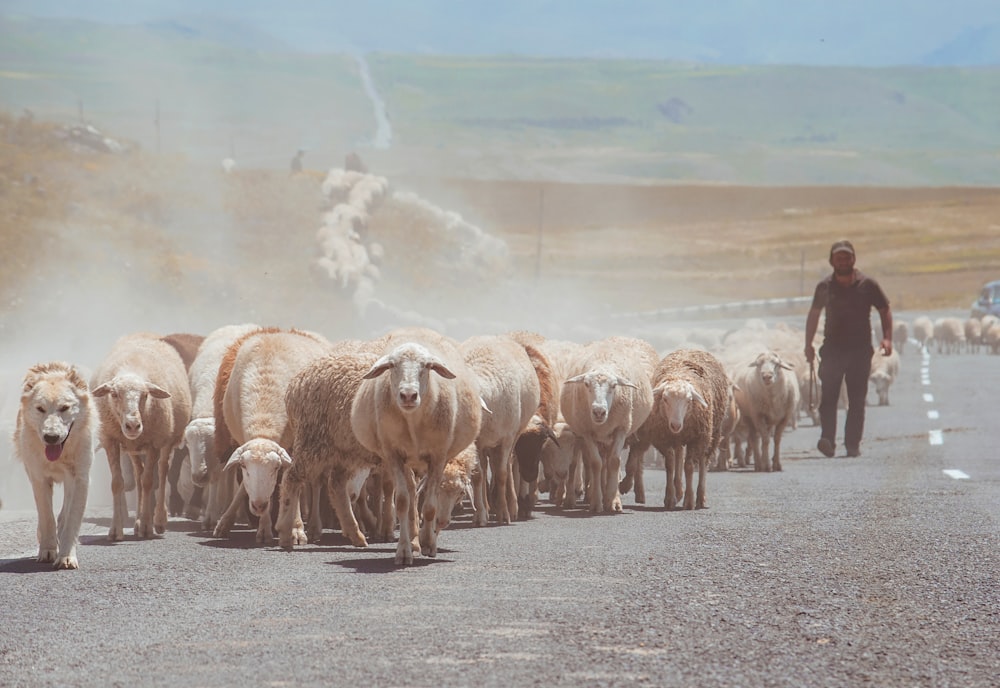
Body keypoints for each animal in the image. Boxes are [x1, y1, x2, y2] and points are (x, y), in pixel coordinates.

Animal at [12, 360, 96, 568]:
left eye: (64, 408)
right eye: (40, 408)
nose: (51, 437)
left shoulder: (81, 479)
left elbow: (72, 518)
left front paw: (66, 556)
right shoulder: (39, 479)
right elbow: (46, 517)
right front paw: (48, 551)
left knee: (65, 512)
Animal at [91, 330, 192, 540]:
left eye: (145, 395)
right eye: (114, 394)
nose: (133, 425)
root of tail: (146, 333)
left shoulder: (154, 443)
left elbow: (148, 482)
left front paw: (147, 526)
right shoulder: (110, 440)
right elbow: (118, 483)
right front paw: (116, 529)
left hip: (167, 439)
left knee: (162, 472)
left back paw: (159, 520)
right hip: (133, 448)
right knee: (138, 474)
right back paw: (137, 521)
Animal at [213, 328, 334, 544]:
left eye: (275, 467)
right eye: (244, 466)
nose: (259, 505)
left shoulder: (294, 448)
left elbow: (295, 486)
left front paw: (296, 529)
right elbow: (248, 486)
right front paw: (264, 529)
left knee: (316, 483)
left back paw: (313, 527)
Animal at [350, 328, 482, 564]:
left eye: (427, 366)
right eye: (392, 365)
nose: (408, 395)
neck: (412, 422)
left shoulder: (438, 456)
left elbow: (429, 506)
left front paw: (429, 542)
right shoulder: (393, 454)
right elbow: (403, 501)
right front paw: (404, 549)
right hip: (407, 461)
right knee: (411, 495)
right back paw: (413, 538)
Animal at [560, 336, 660, 512]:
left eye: (614, 386)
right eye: (586, 384)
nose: (599, 411)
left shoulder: (621, 429)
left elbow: (615, 462)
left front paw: (613, 501)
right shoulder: (587, 432)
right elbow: (595, 463)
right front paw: (596, 502)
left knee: (610, 462)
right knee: (583, 463)